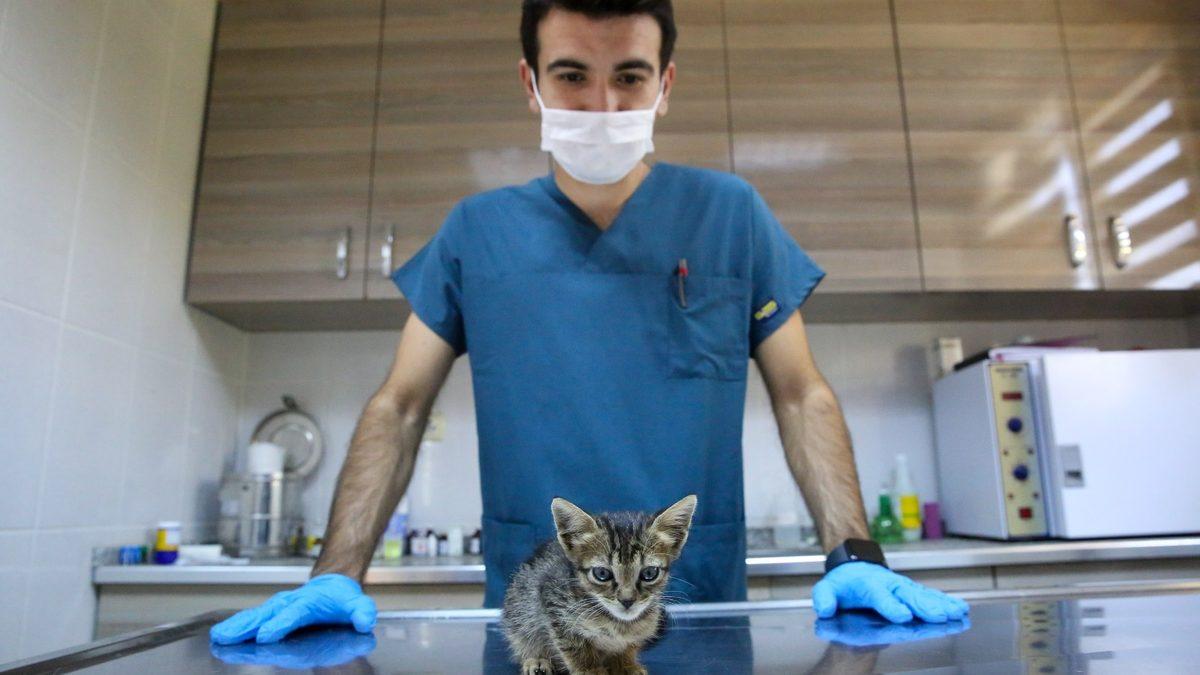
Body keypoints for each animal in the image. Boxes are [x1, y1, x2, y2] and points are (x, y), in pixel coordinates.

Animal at [501, 494, 697, 675]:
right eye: (602, 574)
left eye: (649, 573)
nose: (627, 600)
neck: (617, 623)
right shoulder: (552, 601)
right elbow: (573, 645)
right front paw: (589, 669)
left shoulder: (643, 627)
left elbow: (628, 645)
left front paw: (626, 665)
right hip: (519, 604)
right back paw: (536, 659)